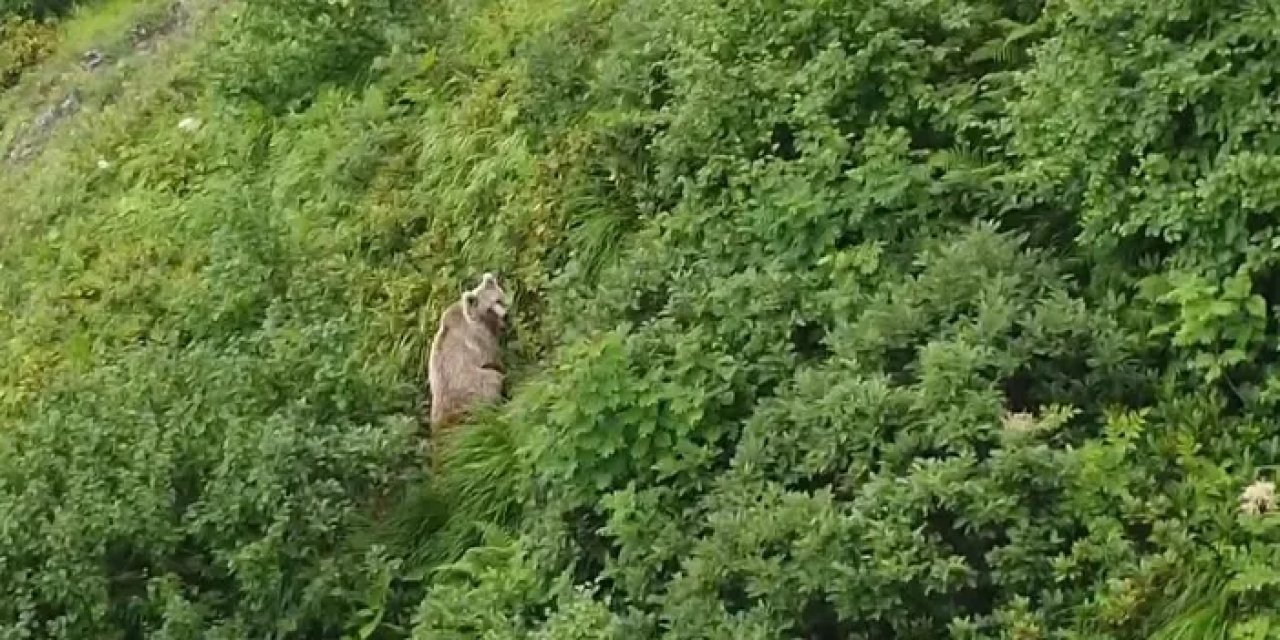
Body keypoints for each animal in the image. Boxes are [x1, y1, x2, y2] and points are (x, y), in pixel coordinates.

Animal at [430, 270, 509, 435]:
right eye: (489, 307)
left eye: (498, 300)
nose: (506, 315)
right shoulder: (479, 339)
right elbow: (494, 358)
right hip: (473, 385)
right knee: (492, 378)